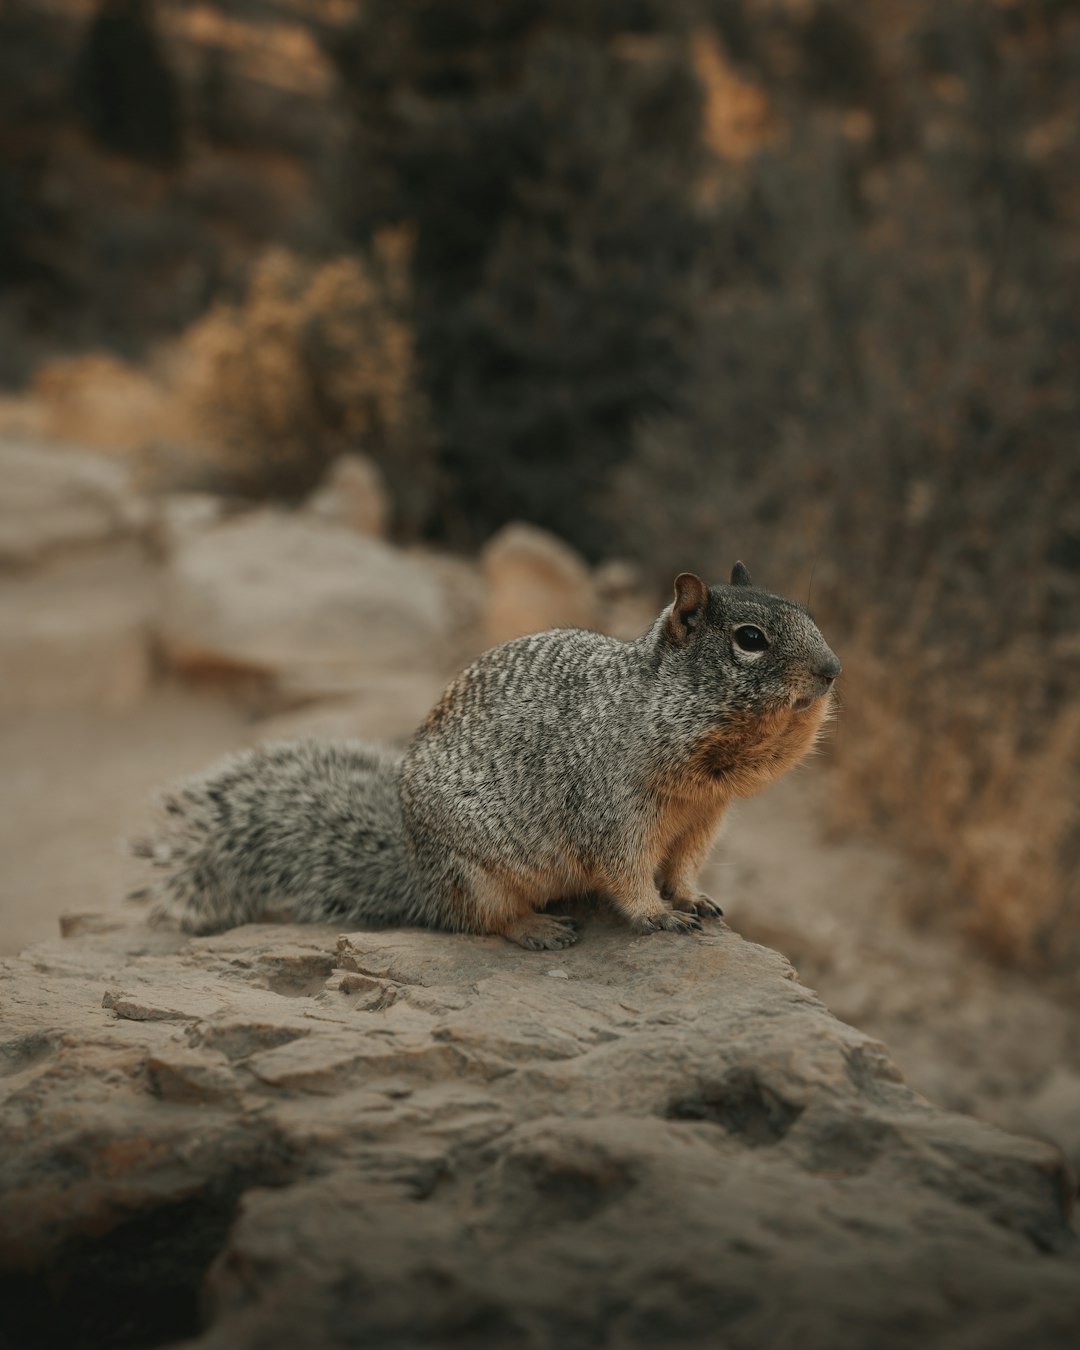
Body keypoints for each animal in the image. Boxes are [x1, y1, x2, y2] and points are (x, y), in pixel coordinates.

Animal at [130, 558, 842, 950]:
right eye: (750, 639)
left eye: (806, 611)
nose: (833, 670)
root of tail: (418, 875)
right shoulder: (614, 813)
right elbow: (628, 876)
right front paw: (657, 917)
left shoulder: (703, 820)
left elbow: (686, 869)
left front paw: (693, 901)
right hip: (479, 875)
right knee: (482, 922)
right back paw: (537, 929)